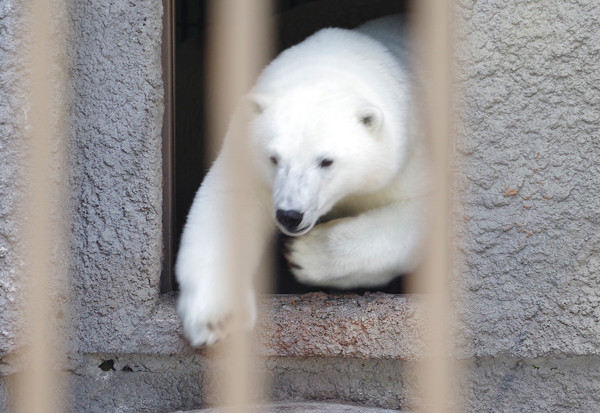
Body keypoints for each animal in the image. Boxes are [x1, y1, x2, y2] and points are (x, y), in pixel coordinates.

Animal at [176, 15, 428, 344]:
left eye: (326, 161)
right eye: (274, 158)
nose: (290, 215)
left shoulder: (406, 154)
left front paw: (303, 254)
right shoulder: (249, 155)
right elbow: (231, 203)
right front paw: (218, 321)